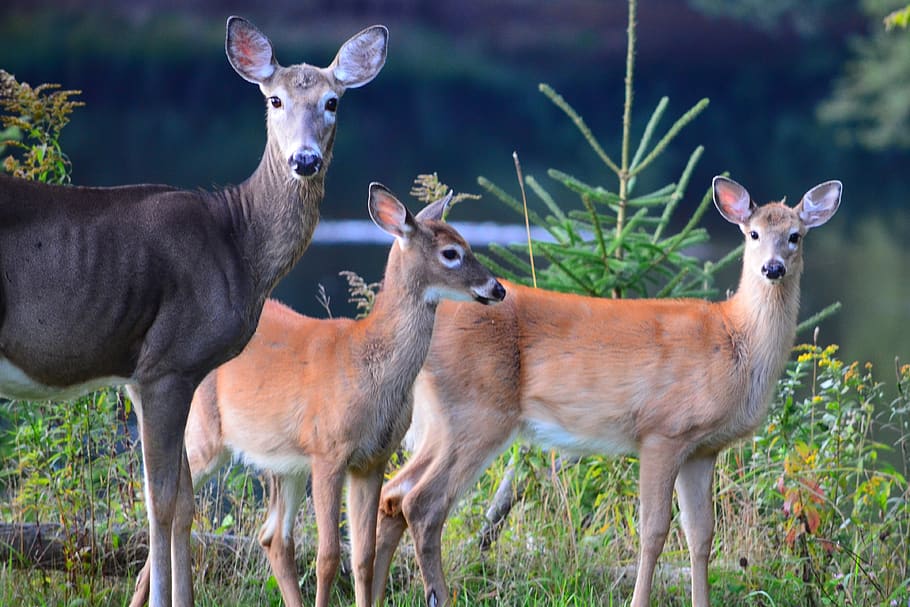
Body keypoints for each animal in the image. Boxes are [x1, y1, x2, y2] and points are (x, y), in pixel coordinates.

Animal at [0, 16, 387, 607]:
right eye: (274, 99)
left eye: (332, 102)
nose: (304, 160)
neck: (236, 241)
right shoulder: (165, 364)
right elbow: (160, 501)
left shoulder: (150, 376)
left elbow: (183, 503)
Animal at [128, 182, 506, 607]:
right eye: (451, 253)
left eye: (466, 243)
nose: (498, 288)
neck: (369, 367)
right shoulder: (329, 450)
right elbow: (328, 556)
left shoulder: (372, 460)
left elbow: (363, 556)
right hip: (203, 433)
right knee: (167, 504)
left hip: (283, 460)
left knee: (273, 536)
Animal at [370, 176, 842, 607]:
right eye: (753, 233)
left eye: (795, 235)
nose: (773, 268)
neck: (735, 338)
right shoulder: (663, 431)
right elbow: (654, 531)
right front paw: (639, 601)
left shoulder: (703, 449)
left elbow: (701, 535)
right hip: (478, 413)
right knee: (422, 504)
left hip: (441, 421)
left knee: (393, 494)